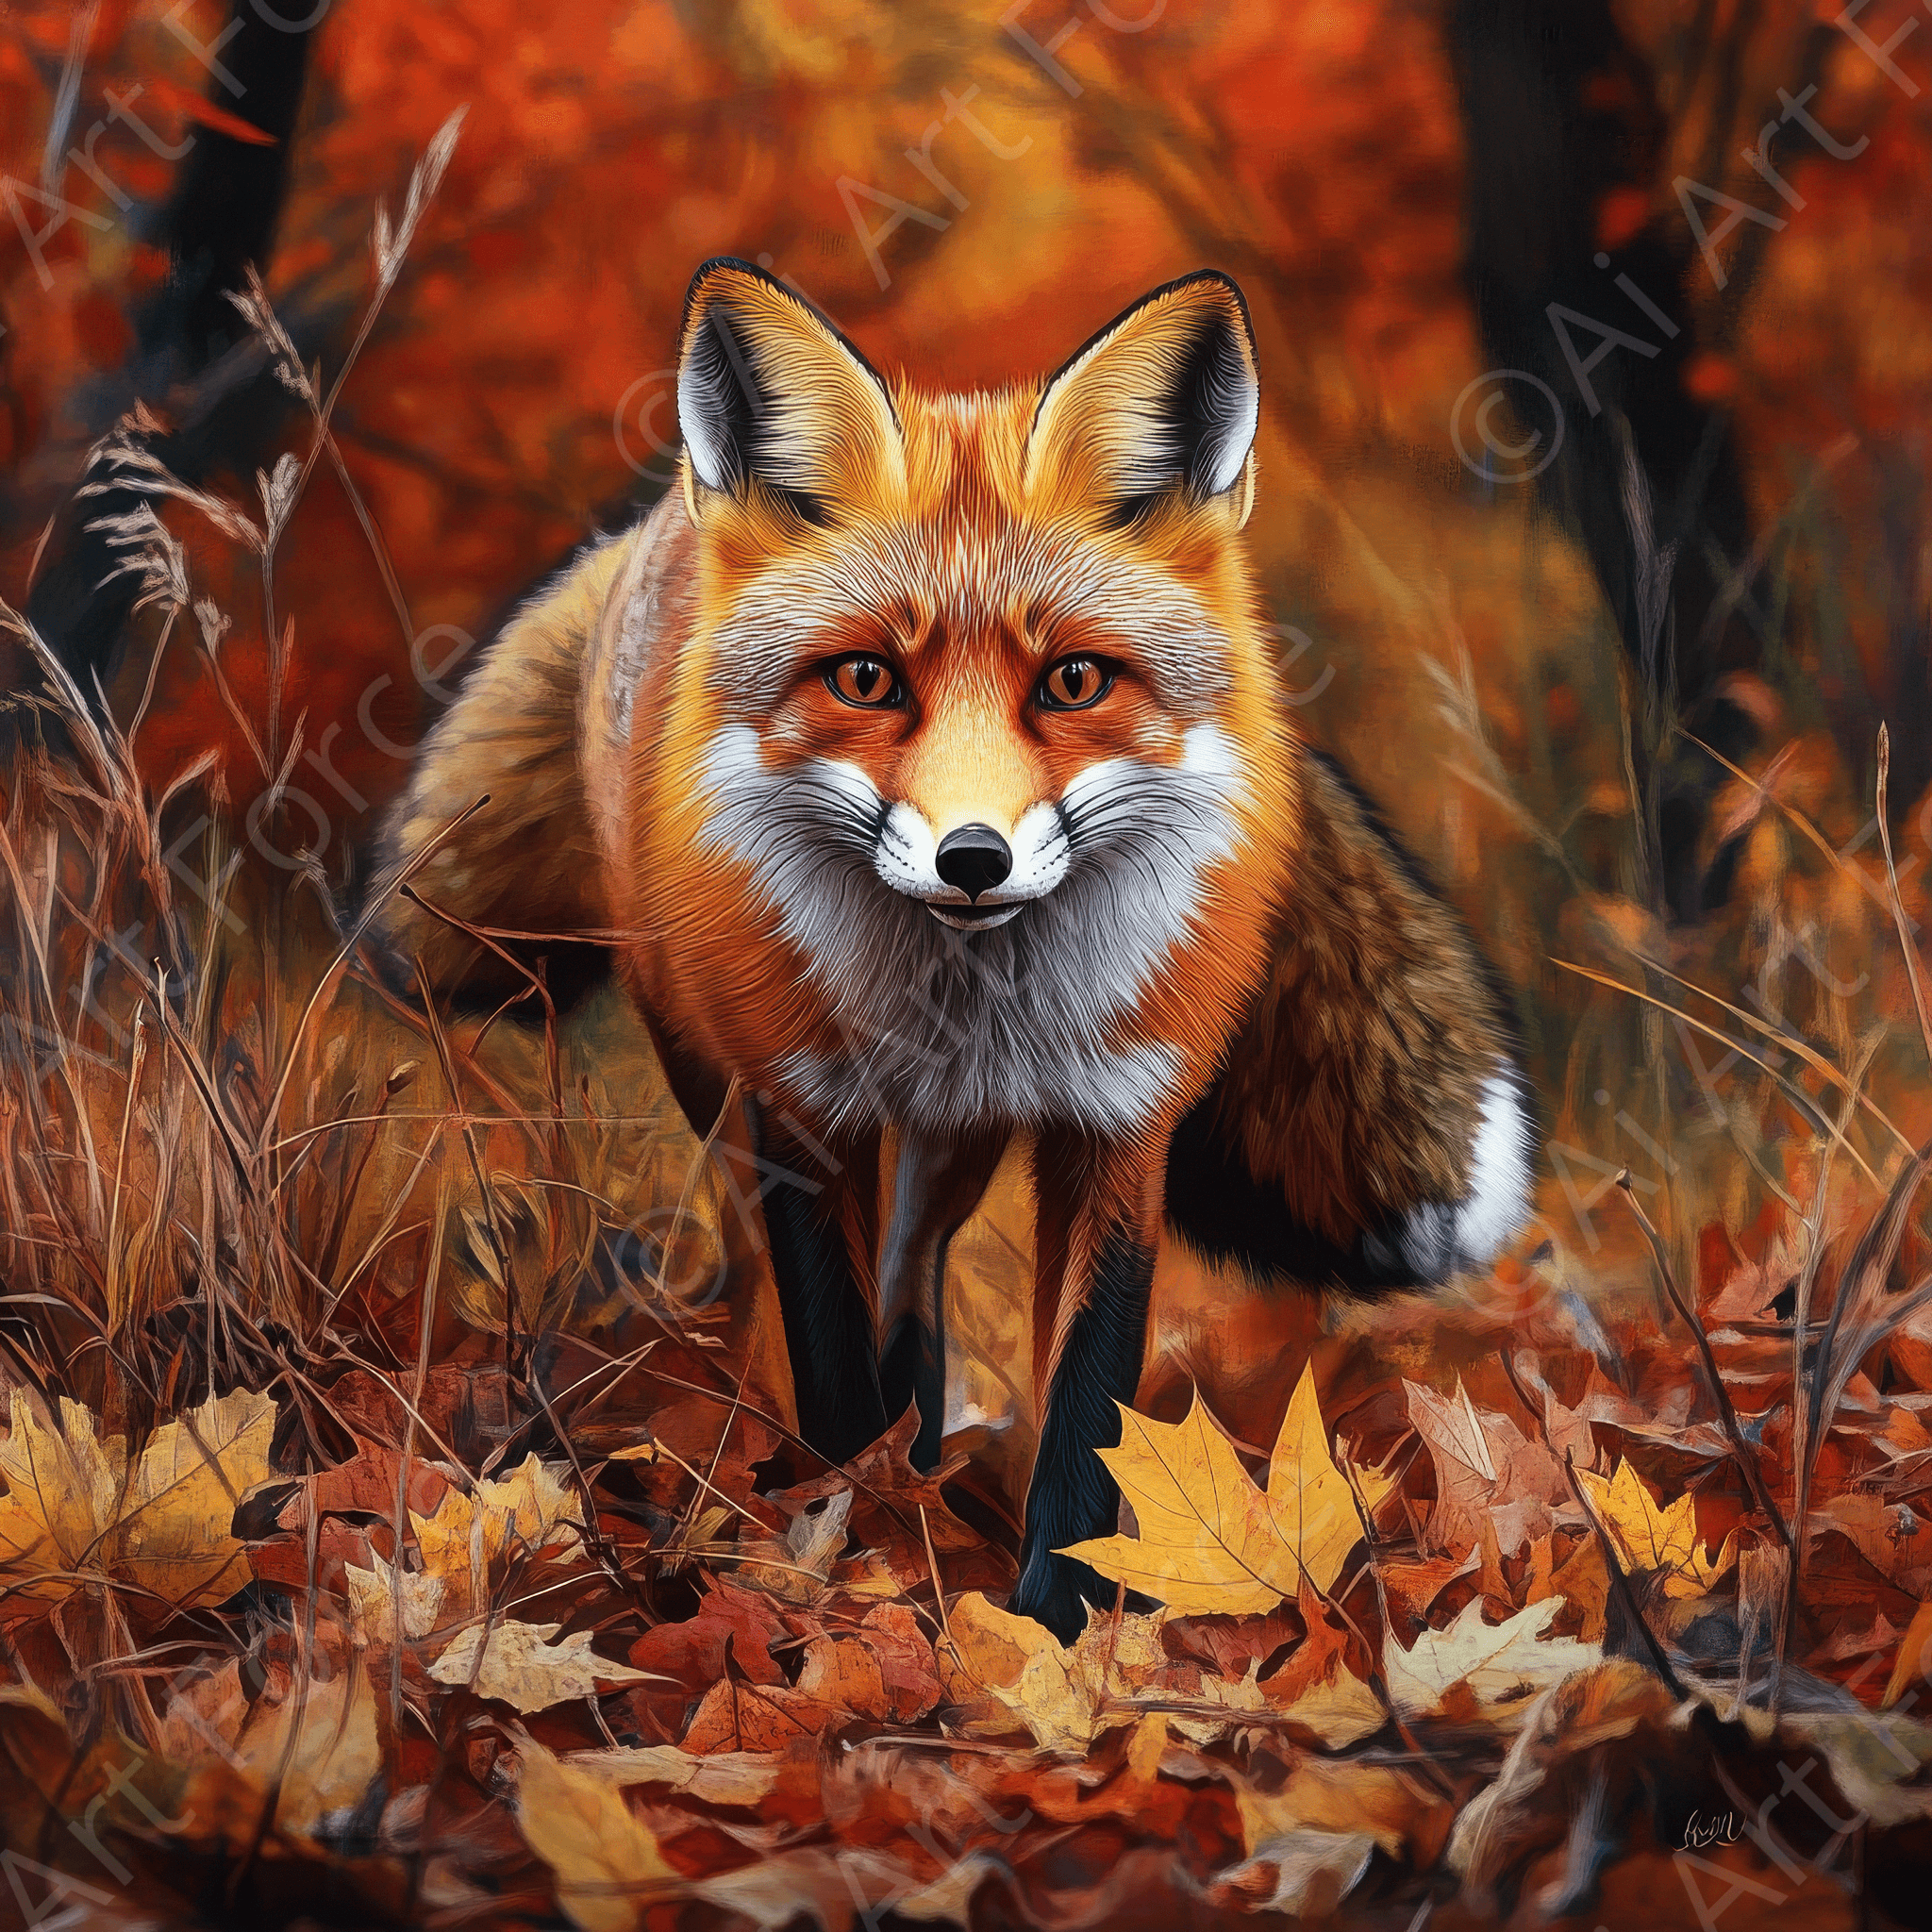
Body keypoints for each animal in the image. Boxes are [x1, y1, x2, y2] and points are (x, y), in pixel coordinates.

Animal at [369, 259, 1535, 1638]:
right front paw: (843, 1548)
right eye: (867, 679)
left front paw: (1058, 1624)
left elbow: (1090, 1400)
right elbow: (828, 1357)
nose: (970, 857)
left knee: (914, 1276)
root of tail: (654, 525)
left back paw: (922, 1455)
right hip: (716, 1078)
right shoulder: (800, 1112)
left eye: (1073, 681)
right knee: (783, 1268)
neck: (968, 1002)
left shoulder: (1117, 1127)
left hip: (955, 1145)